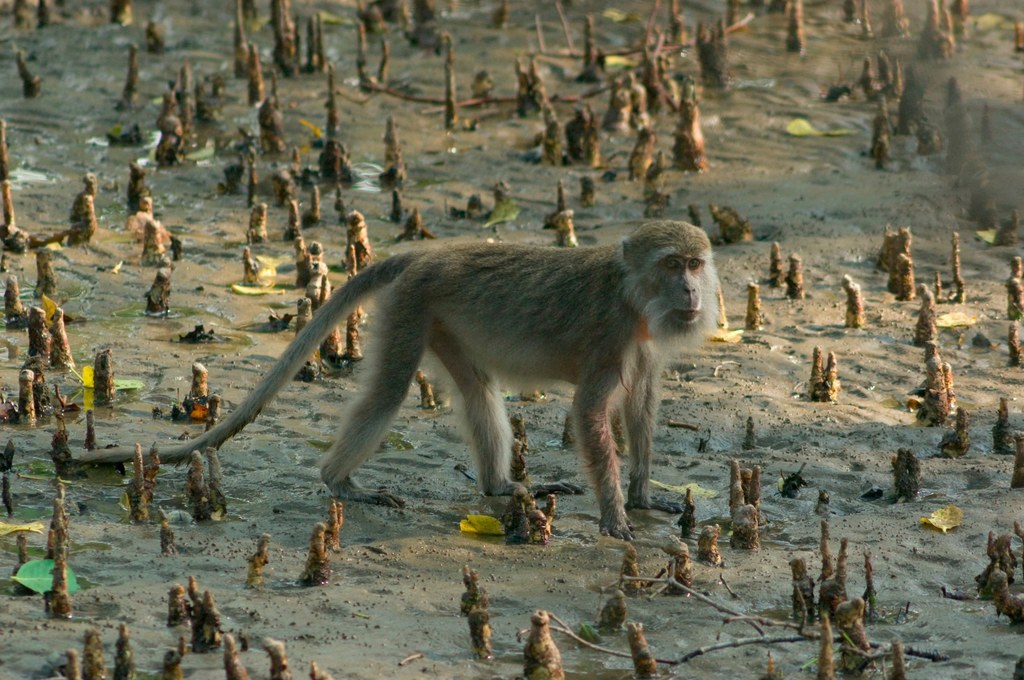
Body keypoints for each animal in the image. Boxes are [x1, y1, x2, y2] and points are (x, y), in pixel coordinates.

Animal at [77, 220, 720, 540]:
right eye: (672, 264)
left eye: (694, 263)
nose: (692, 291)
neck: (632, 296)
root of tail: (425, 255)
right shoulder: (611, 332)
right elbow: (590, 413)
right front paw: (615, 516)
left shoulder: (642, 342)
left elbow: (641, 406)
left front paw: (642, 496)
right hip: (412, 305)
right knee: (390, 390)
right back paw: (340, 482)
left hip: (438, 317)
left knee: (476, 388)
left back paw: (498, 489)